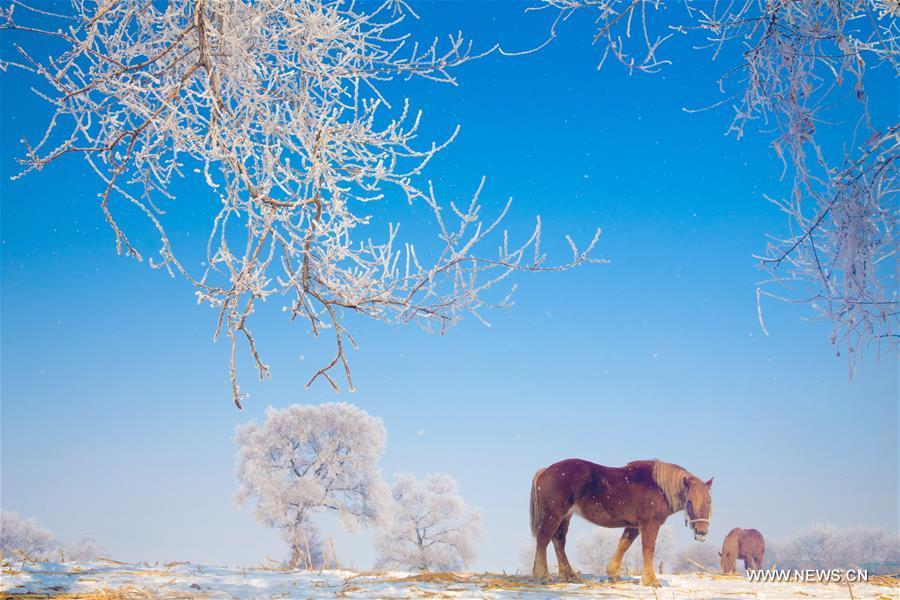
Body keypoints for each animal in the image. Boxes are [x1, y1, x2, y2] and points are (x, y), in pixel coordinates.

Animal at [532, 460, 712, 584]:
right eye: (690, 502)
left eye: (709, 501)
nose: (701, 533)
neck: (659, 488)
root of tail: (545, 471)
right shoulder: (649, 524)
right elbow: (648, 549)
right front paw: (651, 580)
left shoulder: (634, 526)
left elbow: (623, 545)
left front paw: (613, 573)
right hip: (553, 515)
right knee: (543, 539)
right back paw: (542, 574)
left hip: (565, 517)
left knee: (558, 541)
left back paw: (569, 575)